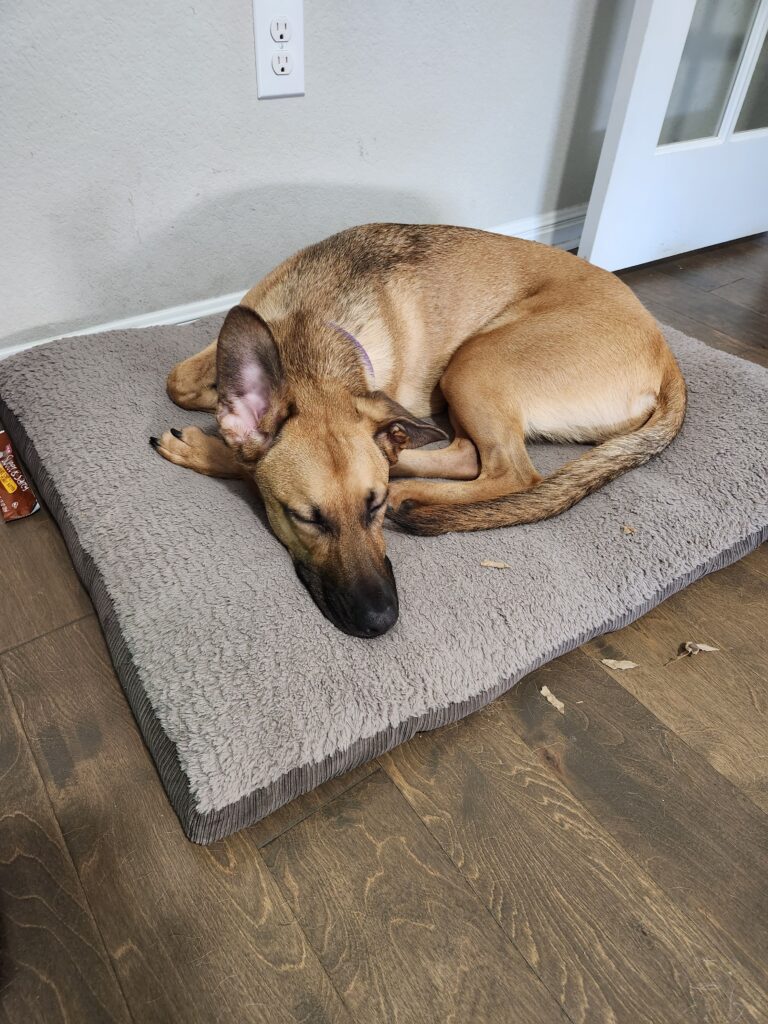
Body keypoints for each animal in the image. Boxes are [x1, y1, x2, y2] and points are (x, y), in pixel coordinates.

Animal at [150, 224, 684, 634]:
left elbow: (241, 455)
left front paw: (207, 450)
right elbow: (179, 382)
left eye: (373, 507)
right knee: (467, 453)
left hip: (475, 361)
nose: (381, 620)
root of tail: (667, 357)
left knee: (509, 471)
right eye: (306, 519)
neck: (308, 333)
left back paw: (411, 491)